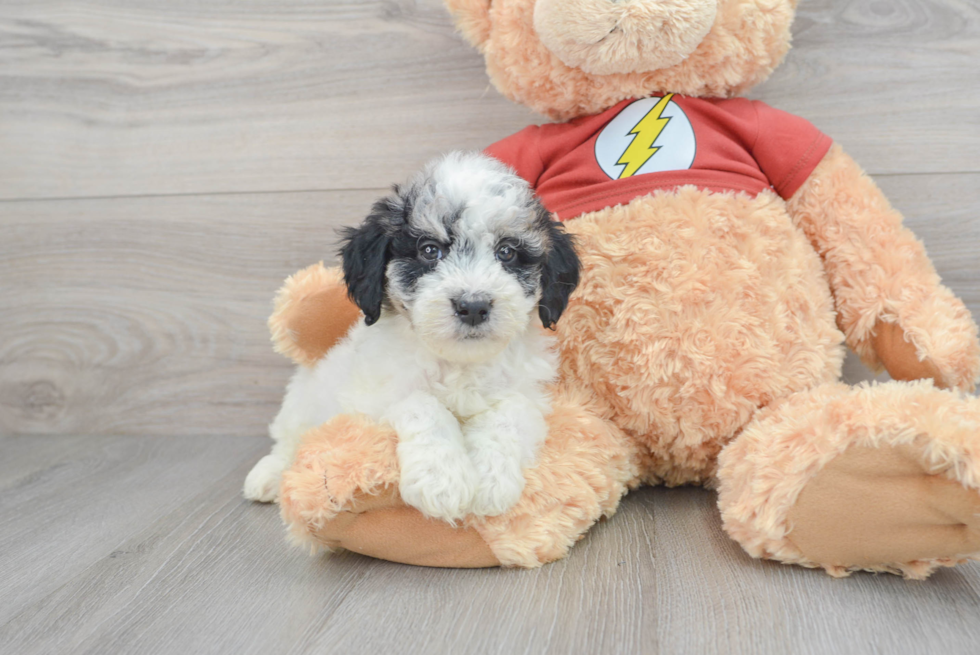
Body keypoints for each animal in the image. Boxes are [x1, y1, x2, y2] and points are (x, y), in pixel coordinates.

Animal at [244, 152, 580, 524]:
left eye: (506, 252)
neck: (458, 362)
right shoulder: (373, 397)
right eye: (430, 250)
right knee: (289, 439)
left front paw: (491, 481)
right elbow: (422, 405)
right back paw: (269, 475)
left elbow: (508, 414)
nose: (473, 306)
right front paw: (442, 481)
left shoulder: (527, 395)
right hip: (303, 401)